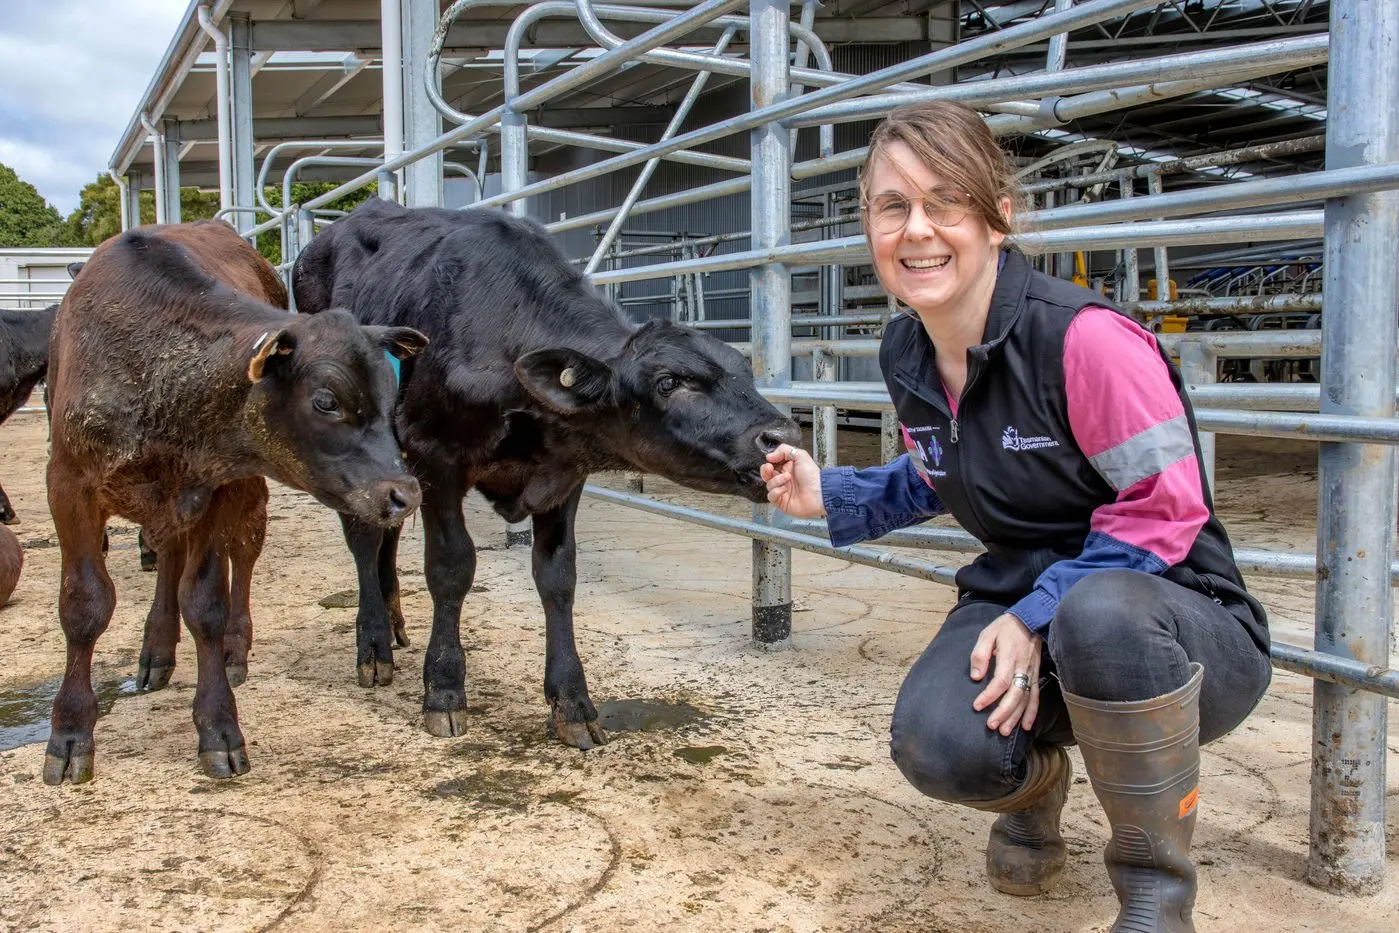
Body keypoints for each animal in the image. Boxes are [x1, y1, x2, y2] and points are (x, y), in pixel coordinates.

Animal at [44, 220, 427, 784]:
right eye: (326, 400)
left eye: (390, 395)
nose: (405, 492)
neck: (155, 372)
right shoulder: (68, 485)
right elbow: (84, 604)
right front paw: (70, 733)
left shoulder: (216, 484)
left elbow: (206, 603)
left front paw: (219, 727)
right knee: (168, 561)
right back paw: (156, 649)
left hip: (244, 495)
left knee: (239, 556)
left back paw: (231, 647)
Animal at [292, 199, 801, 750]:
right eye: (668, 382)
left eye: (746, 373)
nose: (783, 435)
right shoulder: (437, 459)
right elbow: (451, 569)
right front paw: (444, 691)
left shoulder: (564, 476)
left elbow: (558, 577)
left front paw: (573, 702)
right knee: (363, 538)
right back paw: (373, 647)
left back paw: (394, 623)